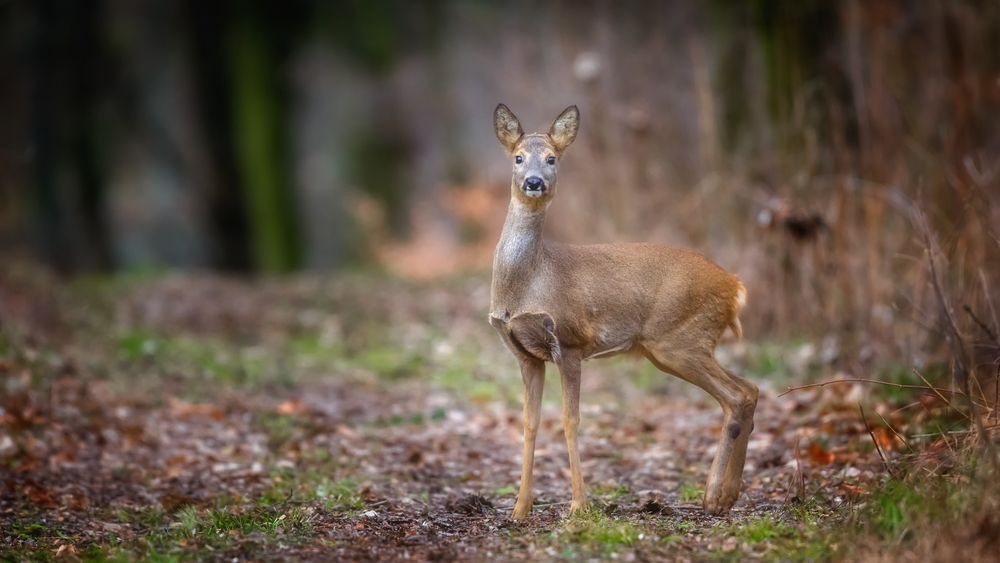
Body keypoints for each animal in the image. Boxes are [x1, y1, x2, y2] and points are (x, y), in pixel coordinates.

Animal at [486, 102, 756, 520]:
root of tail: (735, 286)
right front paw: (519, 508)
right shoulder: (525, 354)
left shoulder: (570, 341)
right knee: (749, 390)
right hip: (677, 346)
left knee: (738, 395)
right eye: (517, 157)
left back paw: (716, 495)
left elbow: (570, 421)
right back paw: (721, 497)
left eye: (552, 158)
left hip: (680, 339)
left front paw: (579, 506)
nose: (533, 182)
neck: (529, 283)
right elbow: (530, 423)